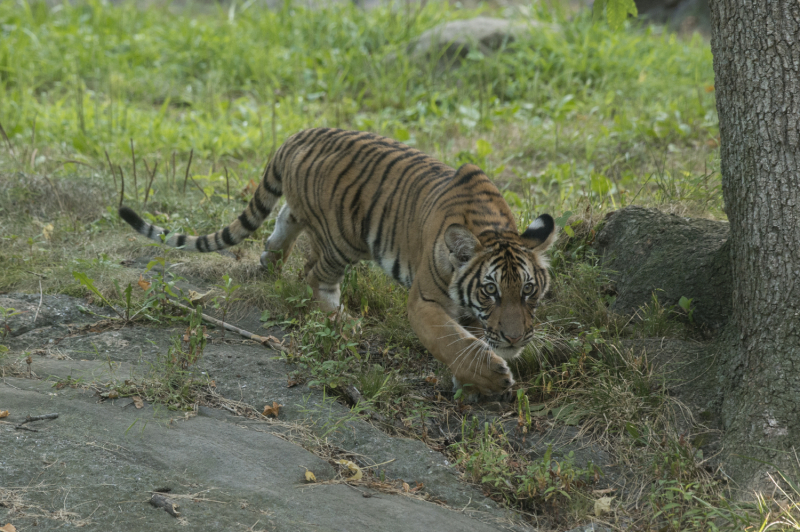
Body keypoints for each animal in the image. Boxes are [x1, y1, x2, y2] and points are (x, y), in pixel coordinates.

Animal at [119, 128, 556, 397]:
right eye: (490, 291)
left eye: (528, 290)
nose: (516, 339)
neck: (491, 226)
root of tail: (299, 134)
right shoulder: (425, 301)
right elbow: (449, 340)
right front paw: (491, 377)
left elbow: (469, 341)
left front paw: (472, 382)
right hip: (343, 238)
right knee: (314, 275)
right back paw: (340, 319)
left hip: (310, 218)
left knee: (283, 222)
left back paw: (268, 264)